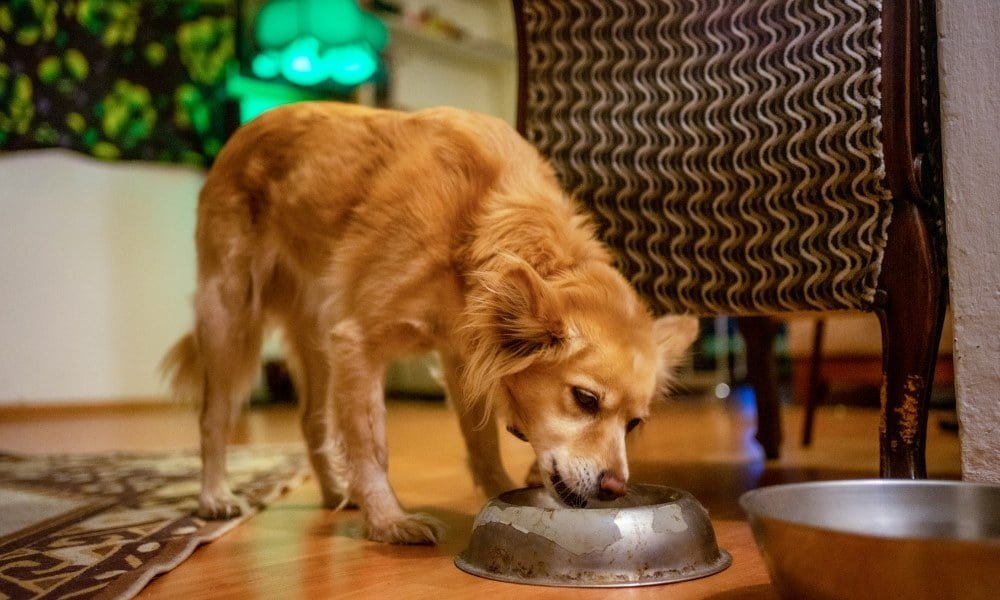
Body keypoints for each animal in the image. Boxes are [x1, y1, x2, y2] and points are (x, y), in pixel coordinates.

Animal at [160, 102, 700, 544]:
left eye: (635, 423)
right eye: (585, 399)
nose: (614, 488)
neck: (474, 222)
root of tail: (248, 127)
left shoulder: (464, 356)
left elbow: (480, 442)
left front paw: (500, 492)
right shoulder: (359, 343)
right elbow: (372, 447)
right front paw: (389, 522)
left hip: (317, 337)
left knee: (312, 418)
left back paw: (337, 490)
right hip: (230, 317)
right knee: (213, 418)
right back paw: (214, 497)